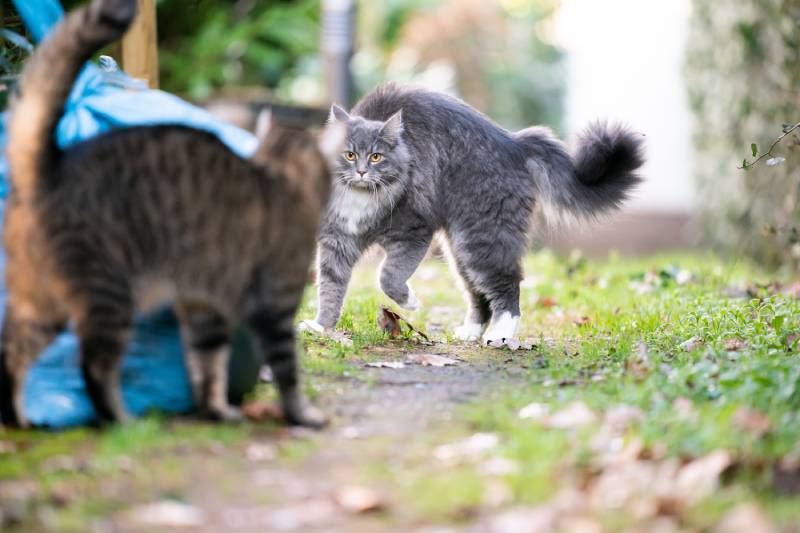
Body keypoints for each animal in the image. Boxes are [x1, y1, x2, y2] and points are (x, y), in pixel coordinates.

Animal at [306, 84, 644, 344]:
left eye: (376, 157)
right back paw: (471, 332)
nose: (362, 171)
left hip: (483, 239)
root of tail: (515, 142)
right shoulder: (336, 243)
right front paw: (321, 327)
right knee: (480, 295)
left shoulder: (413, 232)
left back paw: (501, 334)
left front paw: (411, 302)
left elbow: (388, 276)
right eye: (349, 154)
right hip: (461, 250)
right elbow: (331, 289)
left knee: (508, 288)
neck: (359, 197)